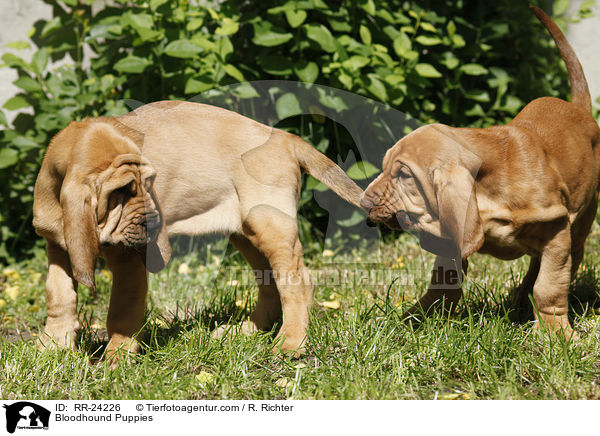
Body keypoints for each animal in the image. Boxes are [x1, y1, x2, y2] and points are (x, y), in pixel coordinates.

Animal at [32, 102, 364, 364]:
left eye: (148, 183)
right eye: (122, 191)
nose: (156, 224)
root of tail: (285, 138)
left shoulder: (128, 260)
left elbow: (122, 309)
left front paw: (118, 356)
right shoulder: (57, 248)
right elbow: (58, 295)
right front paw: (54, 345)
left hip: (270, 224)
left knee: (297, 282)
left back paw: (291, 343)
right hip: (246, 234)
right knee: (269, 281)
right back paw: (247, 331)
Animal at [360, 5, 600, 338]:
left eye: (404, 176)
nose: (364, 202)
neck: (489, 193)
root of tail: (579, 108)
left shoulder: (556, 231)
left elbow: (549, 286)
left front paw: (557, 335)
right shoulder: (452, 235)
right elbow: (443, 285)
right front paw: (415, 318)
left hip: (581, 221)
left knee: (567, 260)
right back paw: (519, 300)